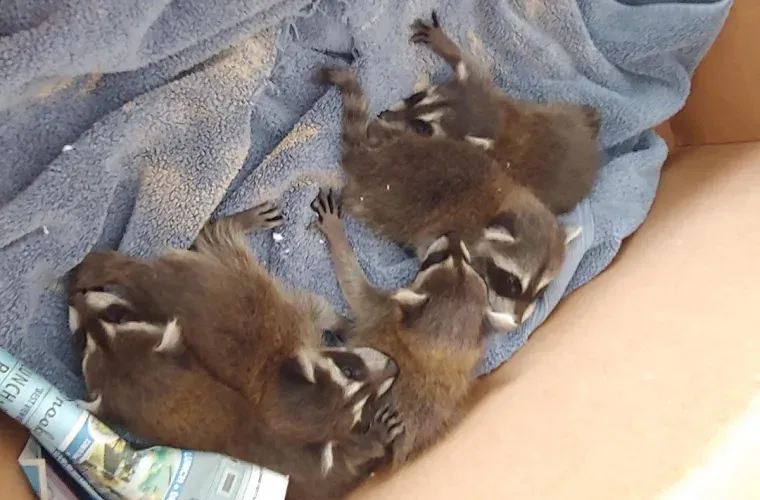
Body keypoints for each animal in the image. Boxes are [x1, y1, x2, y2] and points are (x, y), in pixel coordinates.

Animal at [69, 201, 396, 447]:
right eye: (349, 371)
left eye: (367, 403)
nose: (396, 368)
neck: (275, 379)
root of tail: (145, 279)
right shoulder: (297, 320)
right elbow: (318, 307)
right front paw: (344, 323)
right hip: (222, 273)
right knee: (220, 236)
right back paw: (238, 221)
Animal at [311, 189, 509, 466]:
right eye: (472, 269)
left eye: (435, 259)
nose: (452, 234)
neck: (438, 344)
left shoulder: (382, 309)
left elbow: (354, 286)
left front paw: (336, 233)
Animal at [317, 68, 579, 325]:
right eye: (512, 282)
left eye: (540, 289)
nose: (518, 320)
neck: (504, 204)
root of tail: (373, 161)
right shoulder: (452, 231)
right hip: (385, 205)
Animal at [378, 11, 602, 215]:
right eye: (417, 96)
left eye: (423, 129)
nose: (383, 116)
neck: (499, 120)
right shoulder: (484, 88)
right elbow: (470, 64)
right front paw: (444, 43)